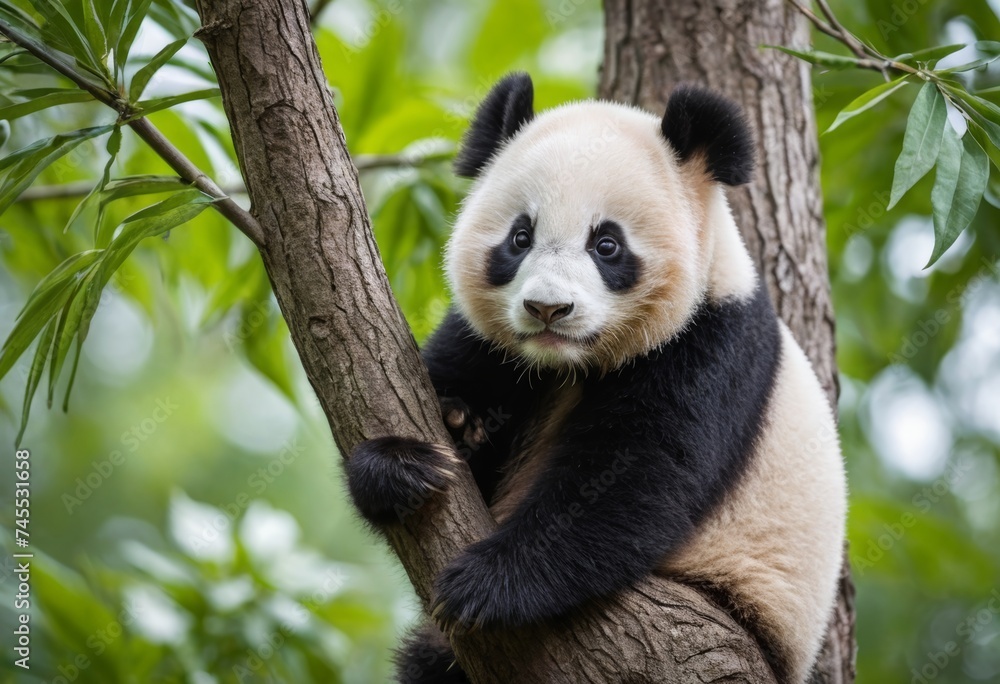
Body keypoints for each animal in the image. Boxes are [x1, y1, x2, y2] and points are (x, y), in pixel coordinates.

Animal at [345, 73, 847, 684]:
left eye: (606, 244)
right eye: (520, 237)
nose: (547, 309)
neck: (570, 362)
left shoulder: (711, 347)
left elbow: (633, 478)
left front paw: (485, 583)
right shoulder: (490, 344)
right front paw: (416, 453)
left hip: (709, 622)